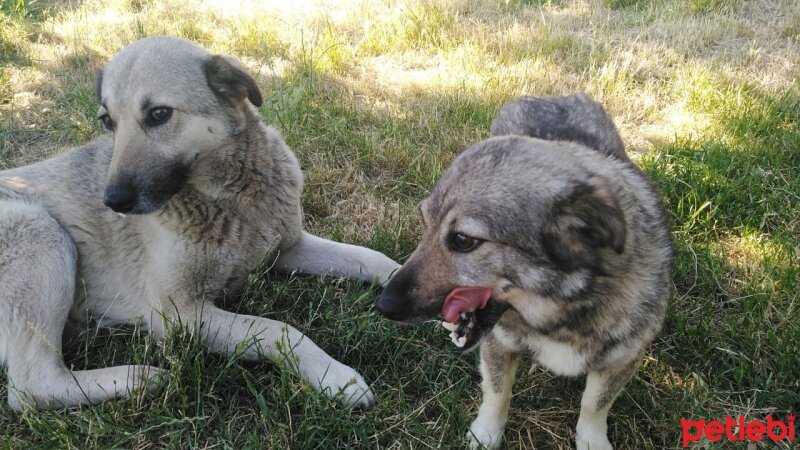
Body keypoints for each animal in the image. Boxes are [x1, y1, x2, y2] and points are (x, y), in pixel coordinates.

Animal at [0, 37, 400, 412]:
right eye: (108, 121)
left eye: (159, 114)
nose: (112, 201)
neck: (232, 200)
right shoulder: (181, 314)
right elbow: (276, 328)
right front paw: (333, 374)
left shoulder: (289, 248)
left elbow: (372, 257)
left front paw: (406, 283)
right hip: (38, 230)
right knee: (32, 388)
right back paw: (138, 378)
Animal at [378, 93, 672, 448]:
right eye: (424, 223)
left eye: (463, 240)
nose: (383, 305)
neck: (562, 309)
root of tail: (552, 97)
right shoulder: (498, 344)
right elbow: (497, 393)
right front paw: (486, 434)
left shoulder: (621, 361)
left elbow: (594, 406)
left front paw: (591, 440)